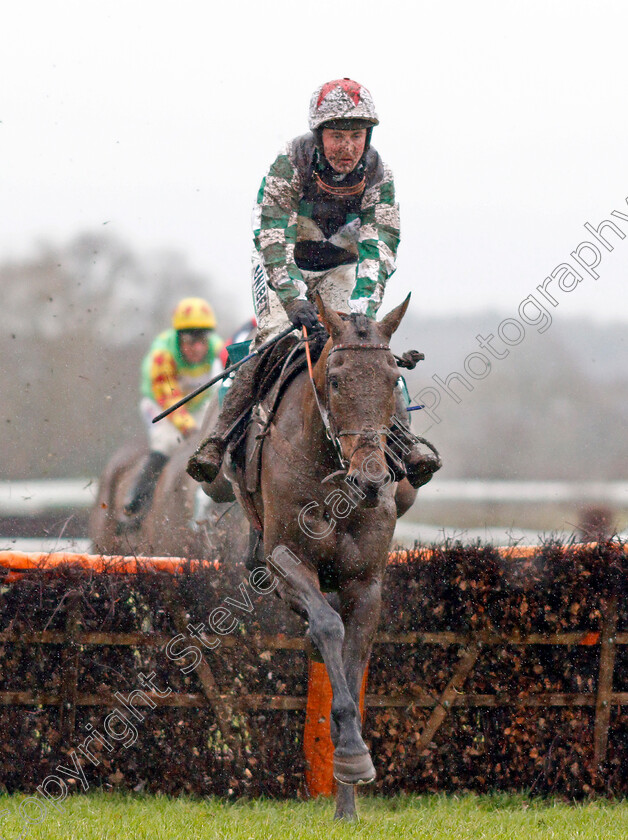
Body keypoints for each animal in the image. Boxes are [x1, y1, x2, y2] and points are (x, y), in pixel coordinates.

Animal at [226, 296, 418, 820]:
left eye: (392, 378)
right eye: (334, 380)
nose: (371, 479)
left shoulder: (366, 582)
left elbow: (353, 662)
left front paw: (348, 795)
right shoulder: (286, 559)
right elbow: (330, 627)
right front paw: (350, 753)